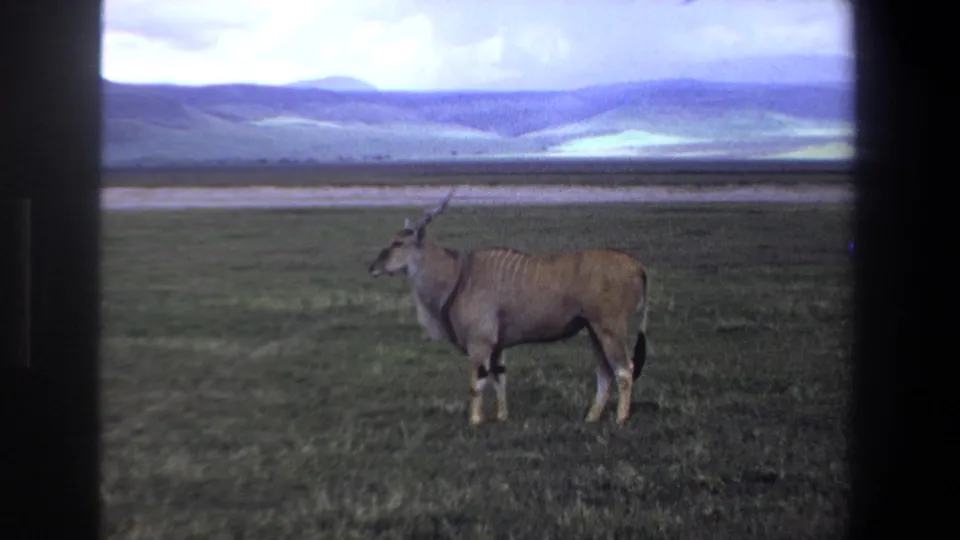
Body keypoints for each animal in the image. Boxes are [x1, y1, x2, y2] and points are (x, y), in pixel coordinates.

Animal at [368, 190, 651, 426]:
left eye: (398, 243)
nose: (373, 267)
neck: (459, 276)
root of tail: (637, 266)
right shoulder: (497, 347)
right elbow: (499, 379)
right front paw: (502, 416)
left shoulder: (480, 343)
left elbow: (477, 383)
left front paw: (475, 421)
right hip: (593, 330)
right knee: (605, 372)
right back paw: (592, 417)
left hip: (610, 328)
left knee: (624, 371)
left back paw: (620, 418)